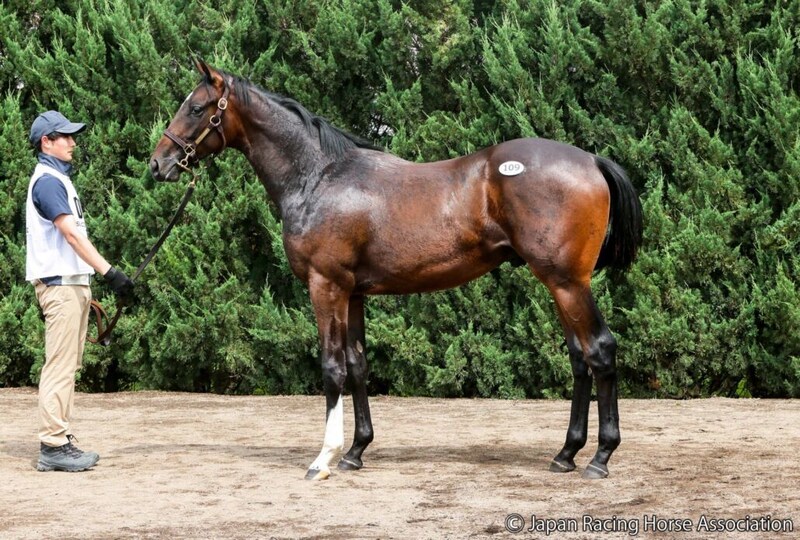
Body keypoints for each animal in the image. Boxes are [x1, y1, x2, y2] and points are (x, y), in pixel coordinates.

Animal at [149, 59, 643, 481]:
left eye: (196, 107)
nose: (158, 164)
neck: (320, 177)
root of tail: (591, 160)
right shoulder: (353, 293)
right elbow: (357, 365)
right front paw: (355, 451)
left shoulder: (325, 286)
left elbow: (331, 367)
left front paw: (324, 458)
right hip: (561, 285)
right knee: (579, 359)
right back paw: (566, 454)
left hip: (567, 283)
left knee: (600, 350)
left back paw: (600, 458)